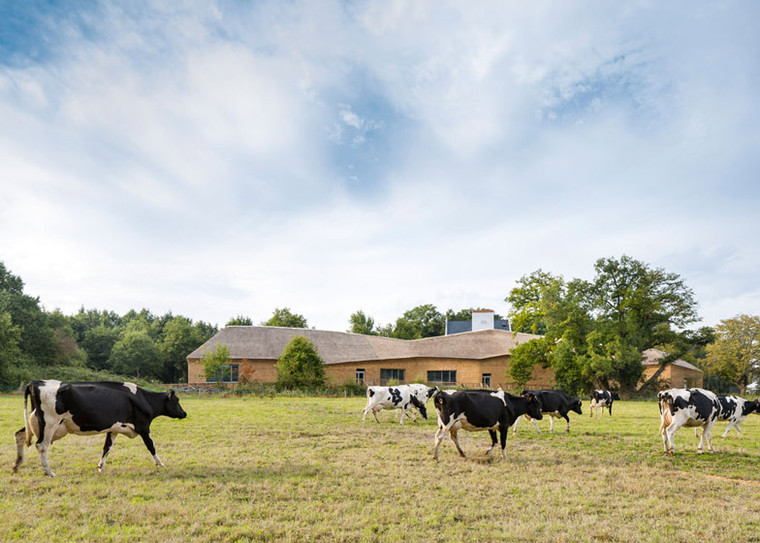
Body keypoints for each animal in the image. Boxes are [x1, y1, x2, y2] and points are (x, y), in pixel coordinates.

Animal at [13, 380, 187, 478]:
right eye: (177, 400)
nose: (184, 413)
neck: (144, 399)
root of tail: (36, 382)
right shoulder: (143, 427)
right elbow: (151, 446)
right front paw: (161, 464)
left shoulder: (114, 429)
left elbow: (107, 448)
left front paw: (100, 467)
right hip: (49, 423)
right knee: (41, 446)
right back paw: (49, 472)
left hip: (36, 421)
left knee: (20, 435)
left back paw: (17, 465)